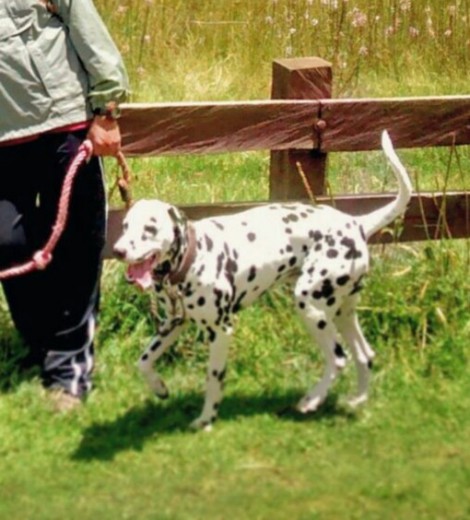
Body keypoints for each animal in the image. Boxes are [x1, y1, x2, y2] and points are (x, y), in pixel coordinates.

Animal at [113, 130, 412, 430]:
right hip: (342, 312)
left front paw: (207, 419)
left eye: (150, 228)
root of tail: (357, 224)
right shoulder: (173, 323)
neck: (194, 256)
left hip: (311, 306)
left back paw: (312, 400)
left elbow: (213, 379)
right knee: (365, 356)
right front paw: (160, 387)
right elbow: (143, 362)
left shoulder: (221, 331)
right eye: (125, 226)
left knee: (338, 359)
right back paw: (356, 401)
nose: (117, 250)